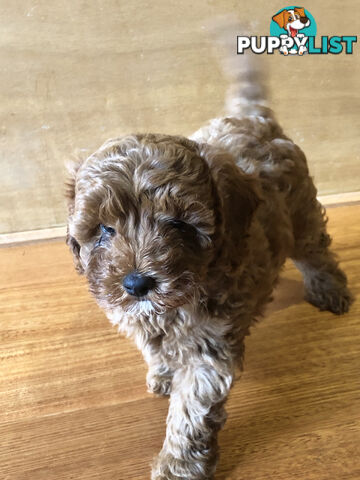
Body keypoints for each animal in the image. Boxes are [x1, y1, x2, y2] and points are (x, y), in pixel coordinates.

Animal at [64, 31, 352, 478]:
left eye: (178, 225)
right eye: (105, 230)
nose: (136, 283)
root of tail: (256, 119)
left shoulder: (207, 348)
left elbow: (191, 411)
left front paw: (179, 465)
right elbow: (154, 346)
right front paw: (163, 372)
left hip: (302, 211)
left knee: (316, 252)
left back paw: (330, 290)